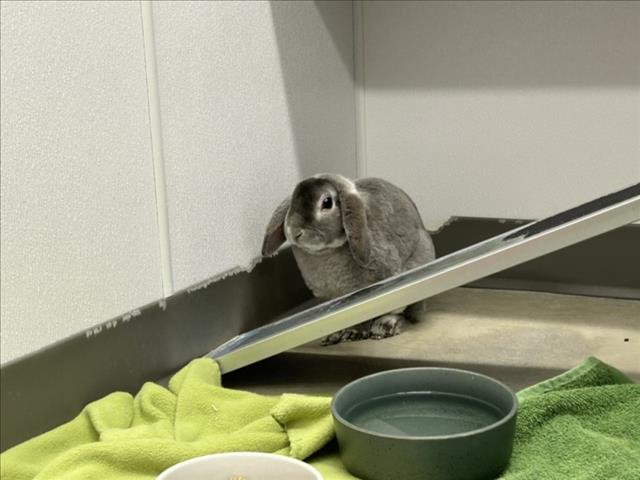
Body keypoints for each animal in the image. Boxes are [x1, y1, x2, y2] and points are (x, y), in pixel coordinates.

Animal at [262, 174, 435, 345]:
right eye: (292, 202)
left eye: (327, 202)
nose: (296, 232)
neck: (326, 253)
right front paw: (341, 334)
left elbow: (389, 307)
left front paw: (373, 328)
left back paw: (384, 327)